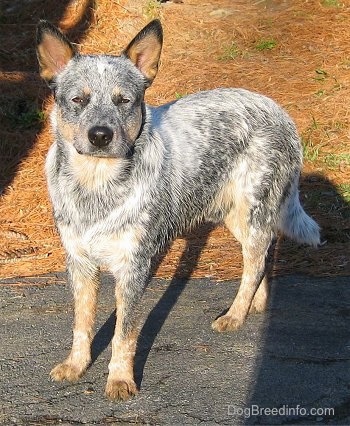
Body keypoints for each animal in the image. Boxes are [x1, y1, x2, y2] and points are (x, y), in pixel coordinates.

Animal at [35, 18, 320, 402]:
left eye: (124, 101)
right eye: (78, 100)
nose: (100, 135)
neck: (96, 186)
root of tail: (279, 110)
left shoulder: (134, 266)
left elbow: (124, 332)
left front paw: (120, 379)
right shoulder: (79, 263)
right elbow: (81, 323)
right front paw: (76, 365)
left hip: (252, 209)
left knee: (257, 259)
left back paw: (236, 314)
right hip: (234, 216)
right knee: (260, 257)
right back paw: (253, 304)